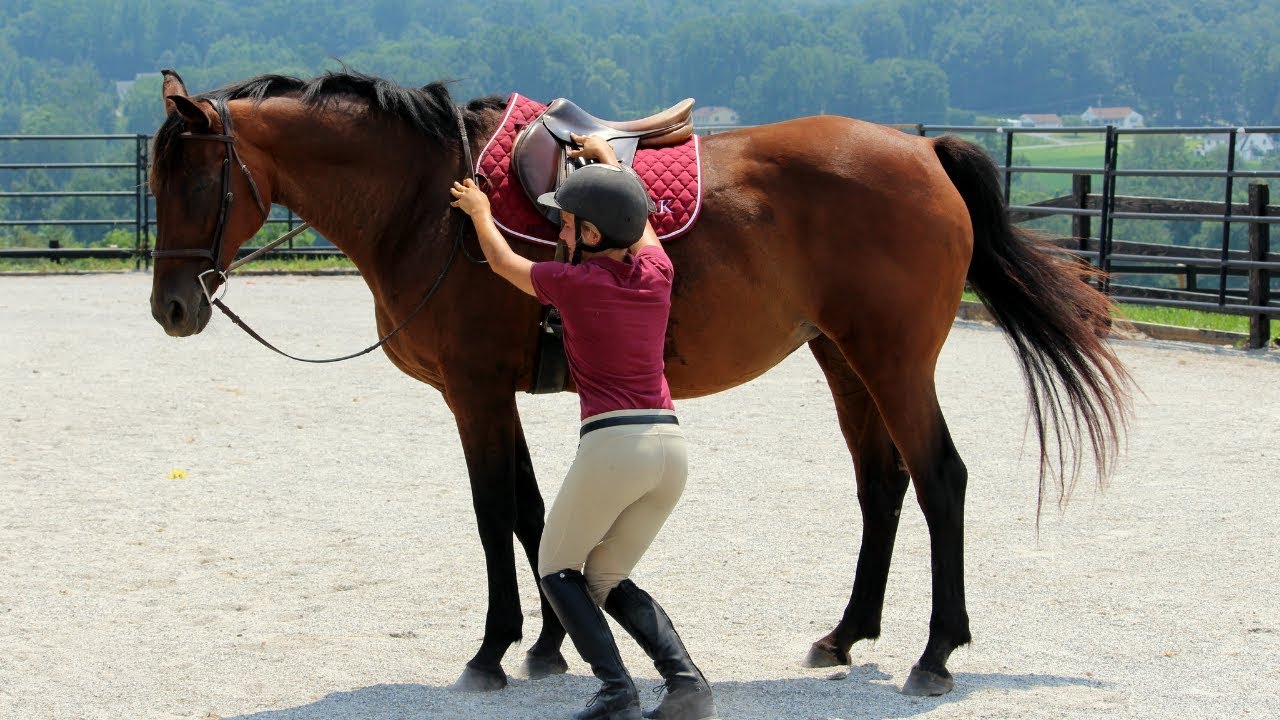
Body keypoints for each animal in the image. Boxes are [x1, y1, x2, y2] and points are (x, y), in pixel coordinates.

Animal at [147, 68, 1131, 697]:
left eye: (193, 180)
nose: (172, 309)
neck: (428, 202)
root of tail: (923, 152)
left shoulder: (474, 391)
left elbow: (495, 511)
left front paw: (494, 650)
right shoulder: (501, 393)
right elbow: (535, 515)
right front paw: (552, 647)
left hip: (892, 358)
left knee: (940, 481)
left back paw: (936, 654)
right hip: (843, 358)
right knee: (881, 485)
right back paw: (846, 633)